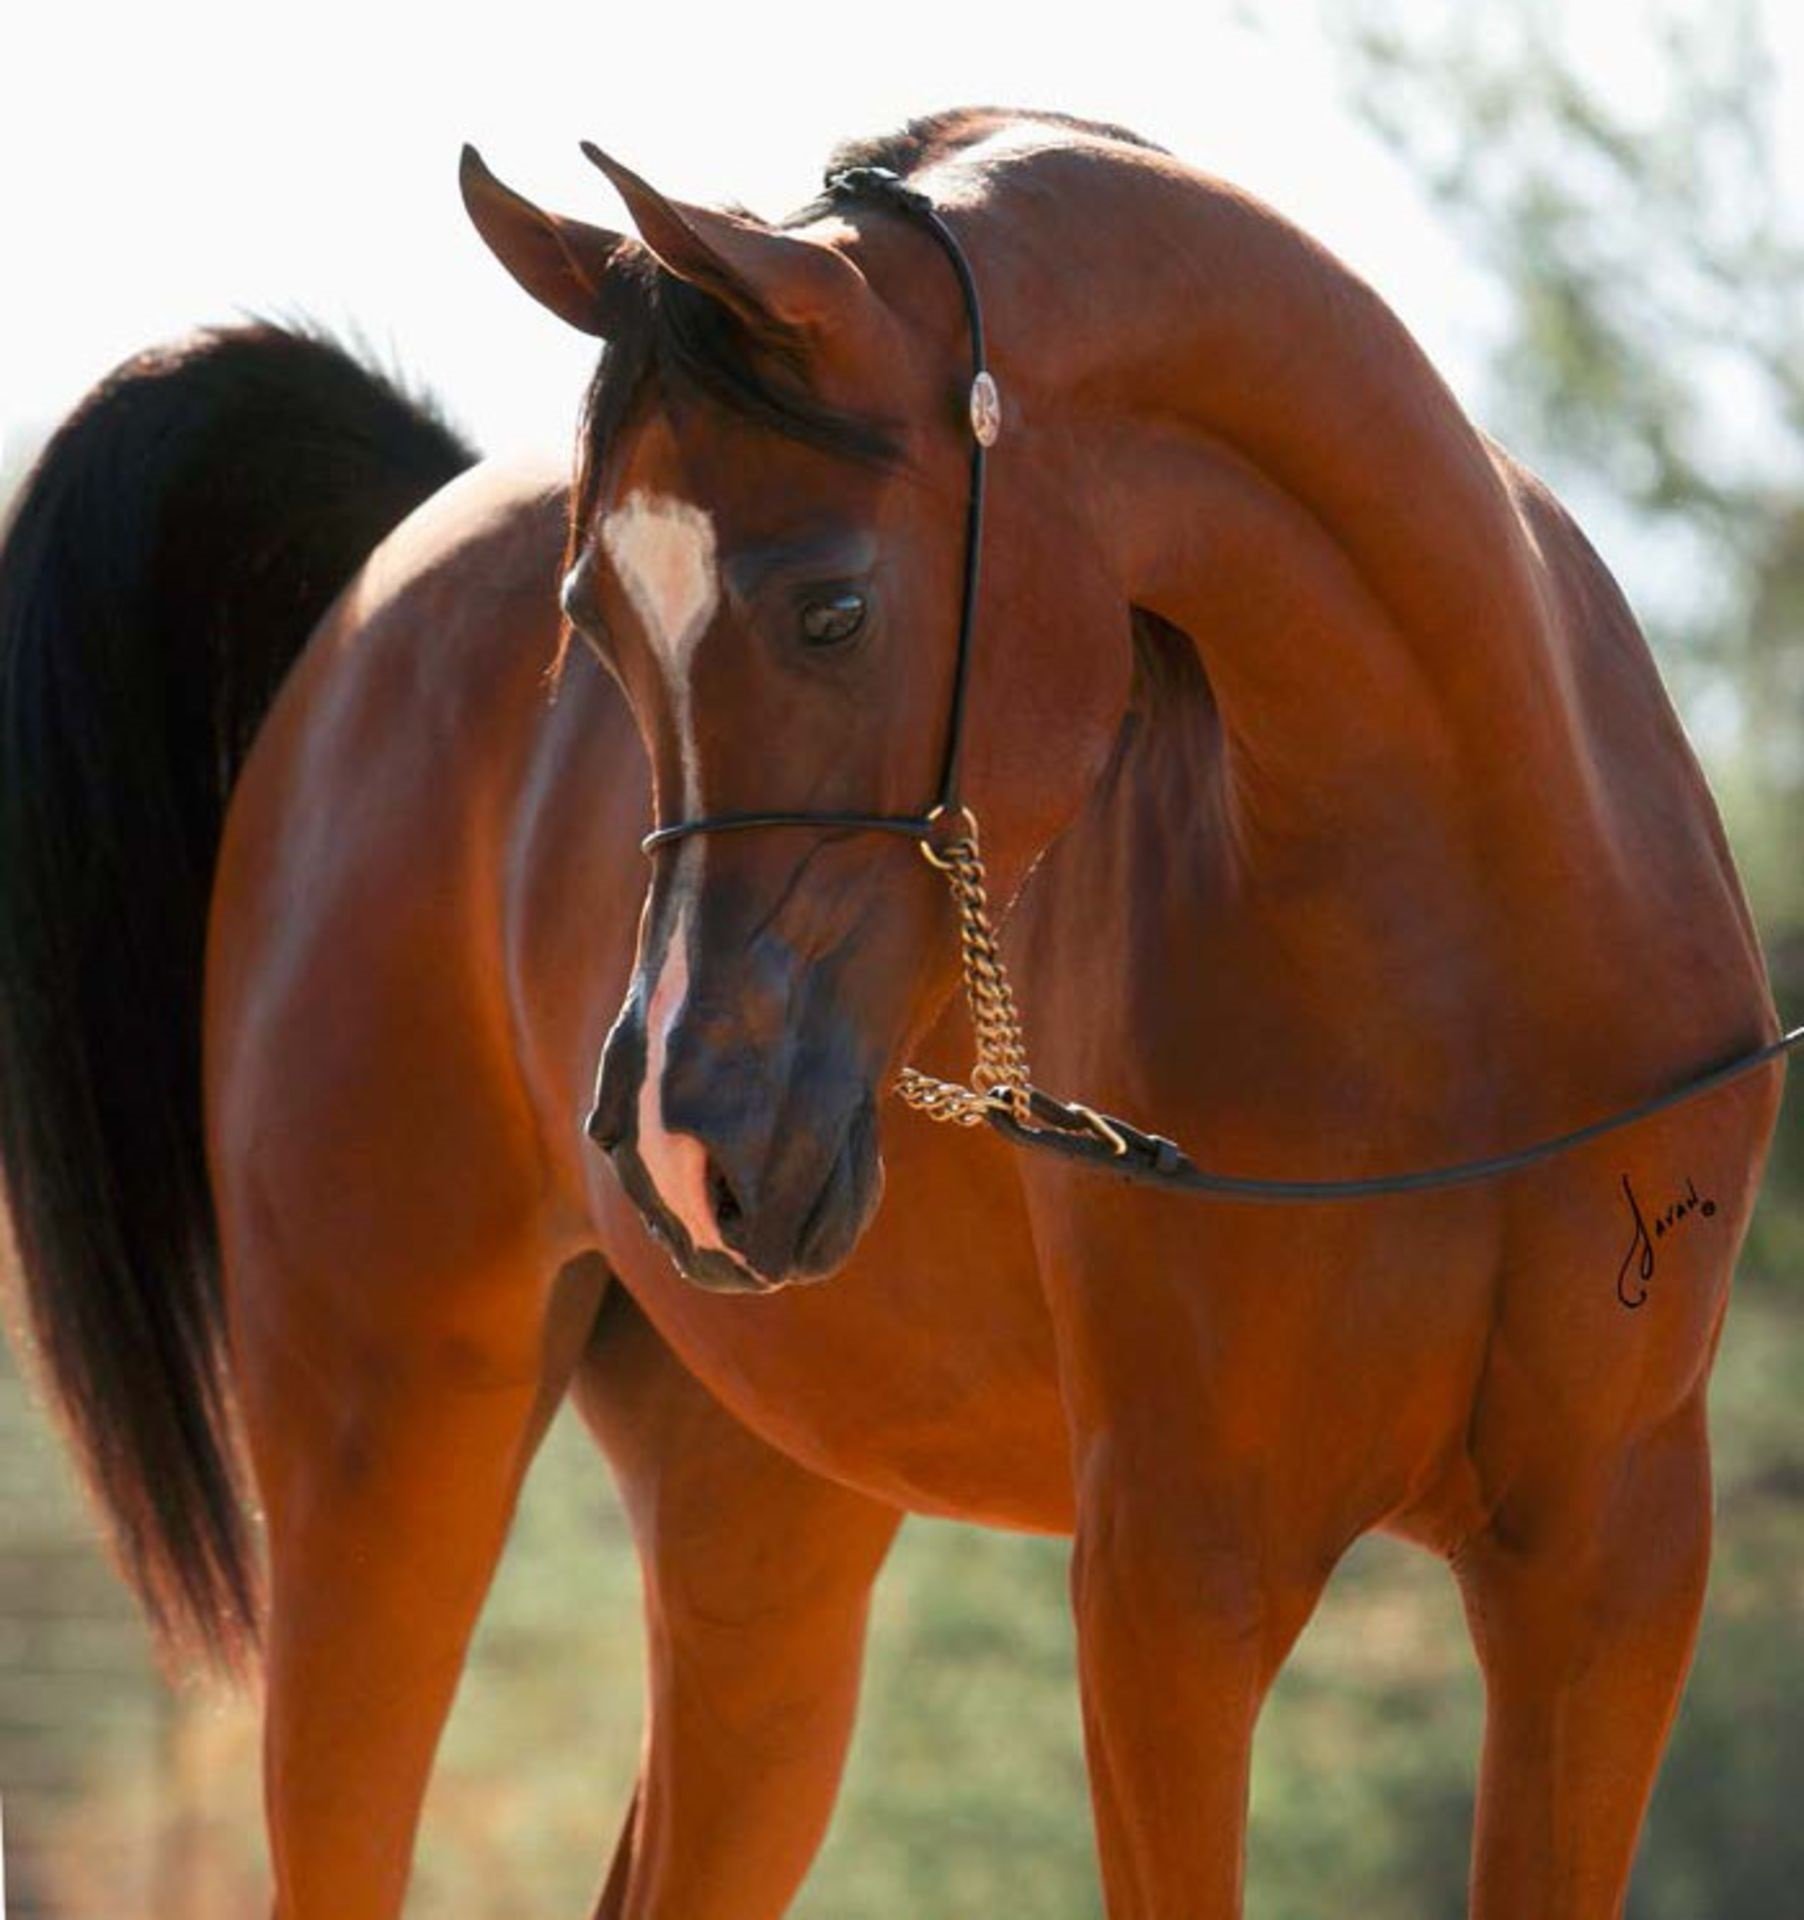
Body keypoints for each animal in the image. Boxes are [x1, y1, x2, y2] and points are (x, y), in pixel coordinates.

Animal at [0, 108, 1780, 1920]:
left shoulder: (1608, 1570)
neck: (1456, 957)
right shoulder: (1176, 1578)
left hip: (759, 1531)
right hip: (379, 1462)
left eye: (833, 608)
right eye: (592, 631)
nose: (672, 1137)